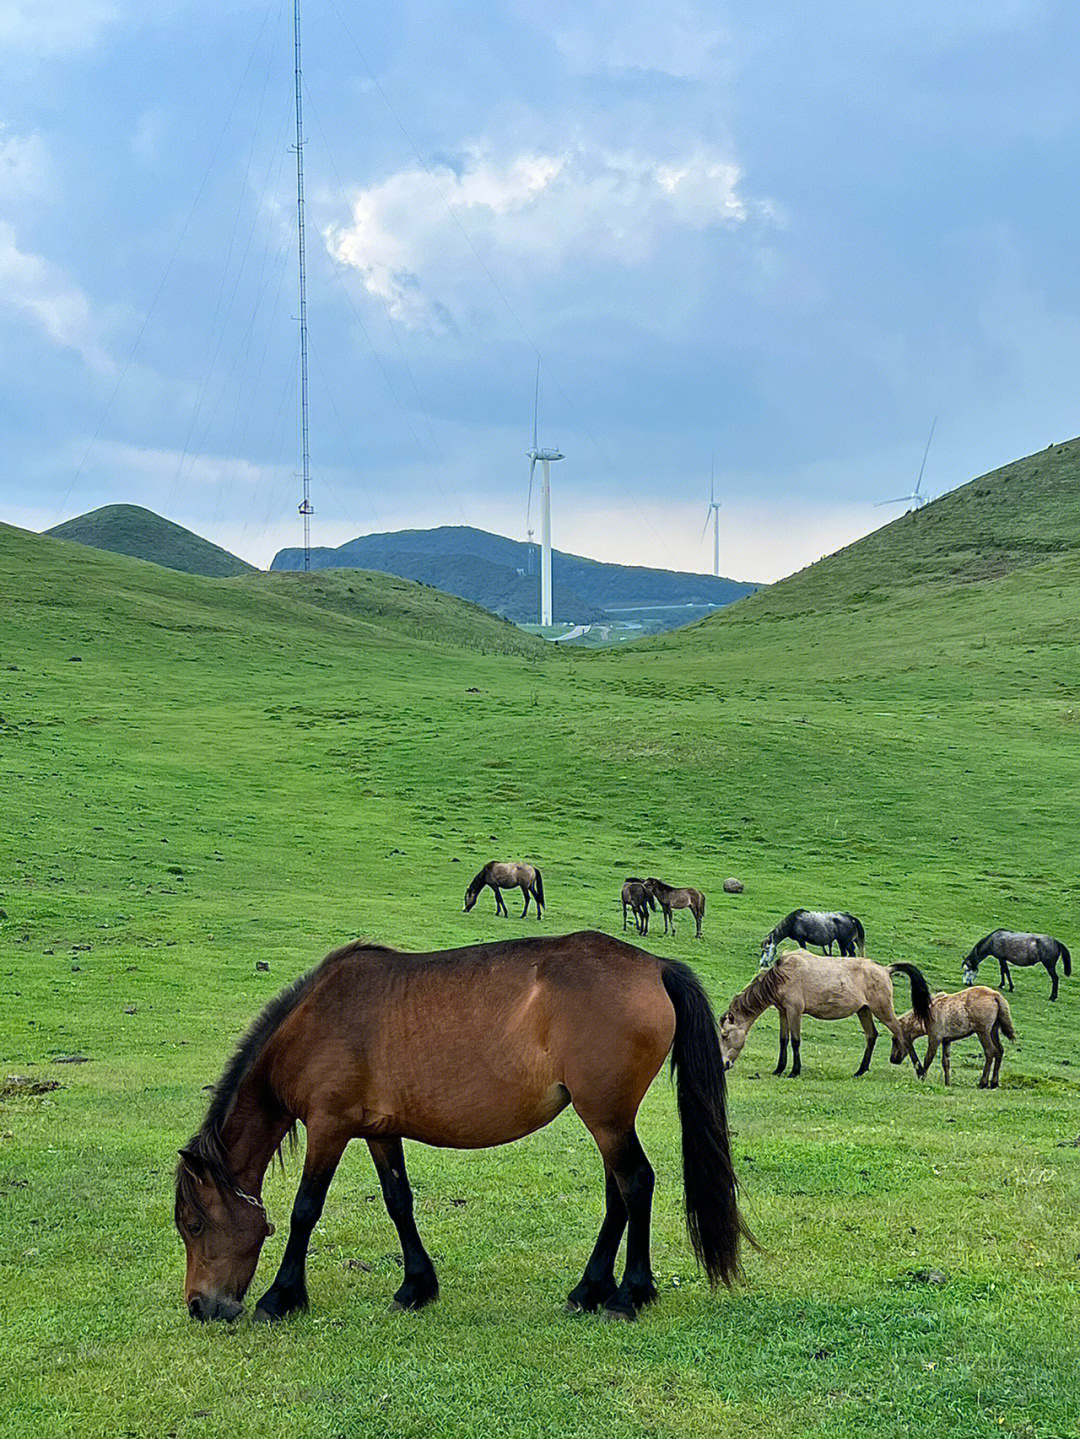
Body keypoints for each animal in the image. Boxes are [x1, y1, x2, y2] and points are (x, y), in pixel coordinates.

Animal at [177, 932, 753, 1323]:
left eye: (194, 1225)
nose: (200, 1306)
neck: (315, 1021)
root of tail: (654, 966)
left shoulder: (329, 1127)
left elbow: (304, 1211)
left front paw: (281, 1296)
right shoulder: (378, 1131)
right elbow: (398, 1202)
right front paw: (416, 1287)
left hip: (606, 1116)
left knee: (636, 1184)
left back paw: (629, 1294)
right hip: (607, 1119)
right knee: (619, 1195)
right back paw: (589, 1289)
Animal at [719, 943, 931, 1082]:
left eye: (724, 1035)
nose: (724, 1065)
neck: (782, 975)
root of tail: (886, 970)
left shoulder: (794, 1011)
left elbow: (795, 1041)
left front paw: (794, 1071)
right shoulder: (783, 1012)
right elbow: (783, 1040)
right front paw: (779, 1069)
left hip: (883, 1010)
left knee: (902, 1034)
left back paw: (920, 1072)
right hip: (864, 1011)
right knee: (872, 1036)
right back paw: (860, 1071)